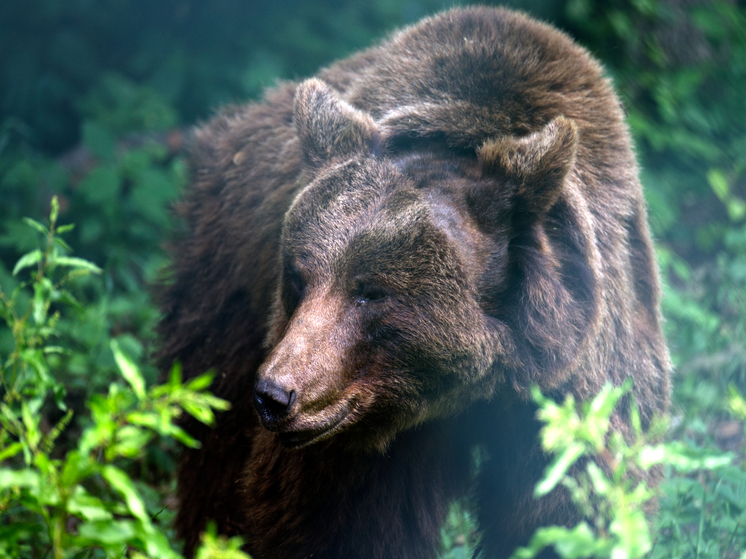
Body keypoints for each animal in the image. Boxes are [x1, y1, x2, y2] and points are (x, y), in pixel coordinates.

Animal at [157, 5, 668, 559]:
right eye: (298, 275)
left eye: (371, 292)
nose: (276, 394)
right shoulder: (350, 437)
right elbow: (337, 525)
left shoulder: (570, 383)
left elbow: (564, 512)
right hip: (226, 284)